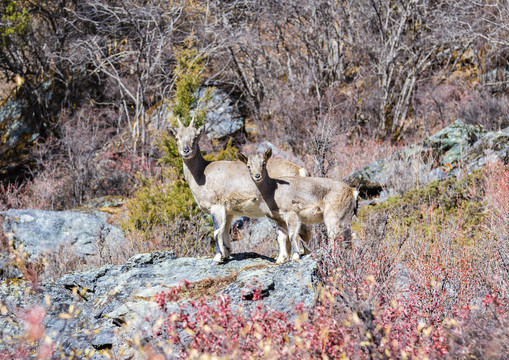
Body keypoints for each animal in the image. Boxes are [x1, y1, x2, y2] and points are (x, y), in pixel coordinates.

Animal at [169, 119, 308, 262]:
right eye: (177, 137)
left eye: (196, 137)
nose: (186, 150)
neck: (202, 174)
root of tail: (300, 170)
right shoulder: (228, 211)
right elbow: (225, 230)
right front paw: (226, 254)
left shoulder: (216, 206)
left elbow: (217, 230)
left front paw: (217, 257)